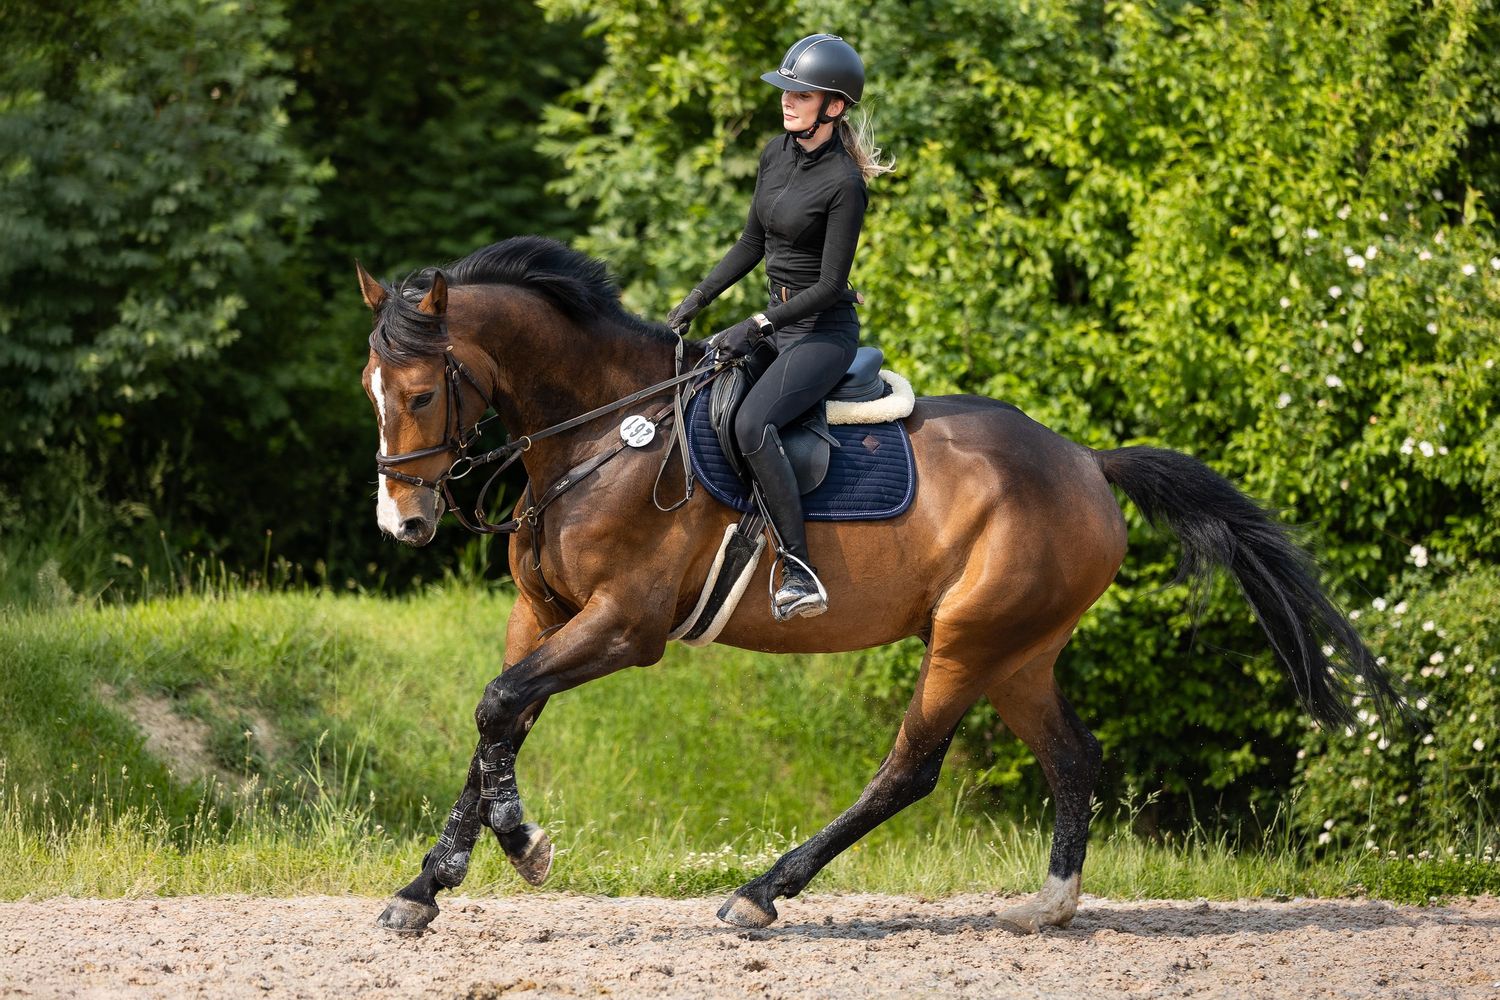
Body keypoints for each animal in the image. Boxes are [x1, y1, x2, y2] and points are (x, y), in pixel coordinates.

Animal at [356, 236, 1405, 934]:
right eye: (372, 389)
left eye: (420, 392)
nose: (404, 523)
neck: (600, 432)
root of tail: (1085, 463)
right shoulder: (544, 614)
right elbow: (496, 721)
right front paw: (427, 886)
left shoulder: (623, 626)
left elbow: (499, 708)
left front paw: (520, 847)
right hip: (1018, 653)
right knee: (1073, 756)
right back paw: (1050, 905)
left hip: (969, 641)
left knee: (911, 767)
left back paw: (761, 892)